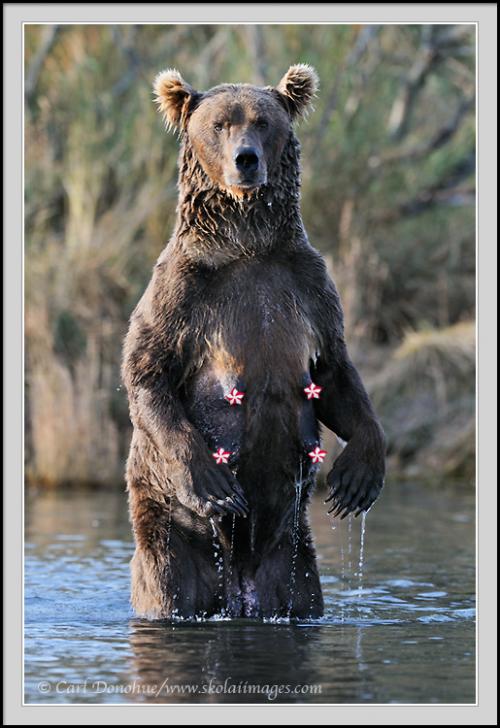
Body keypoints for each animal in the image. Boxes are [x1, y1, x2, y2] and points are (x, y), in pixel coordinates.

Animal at [122, 64, 386, 620]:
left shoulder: (307, 285)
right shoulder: (183, 289)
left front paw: (359, 476)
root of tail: (238, 584)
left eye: (263, 122)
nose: (246, 159)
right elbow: (148, 369)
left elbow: (334, 369)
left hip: (292, 559)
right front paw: (214, 483)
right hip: (172, 536)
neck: (247, 245)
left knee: (301, 590)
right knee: (169, 583)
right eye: (219, 124)